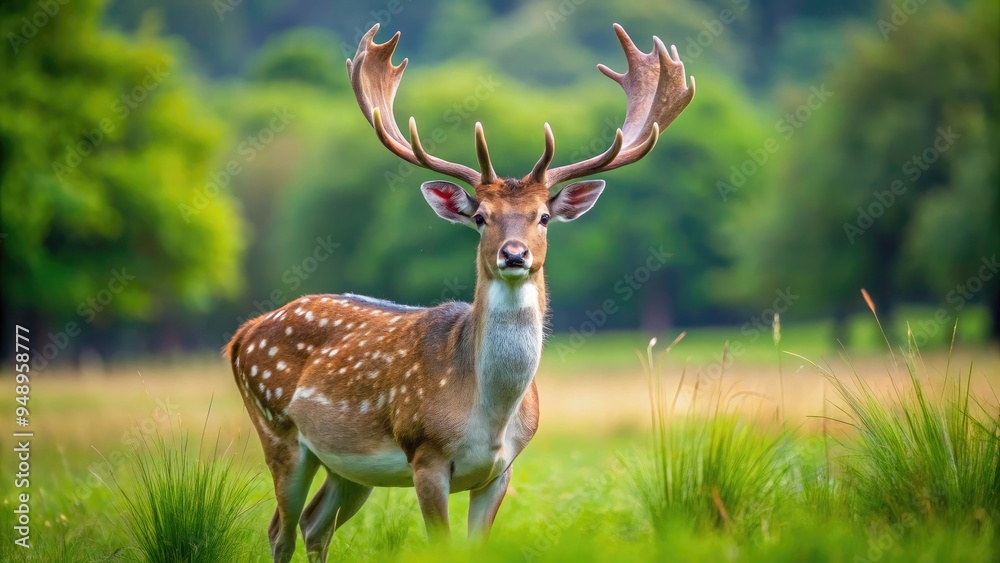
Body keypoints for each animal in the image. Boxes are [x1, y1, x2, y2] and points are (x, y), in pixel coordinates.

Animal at [226, 22, 694, 563]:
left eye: (544, 216)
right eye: (480, 218)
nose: (514, 254)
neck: (489, 416)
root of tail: (241, 335)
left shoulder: (501, 471)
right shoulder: (426, 456)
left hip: (350, 466)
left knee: (313, 524)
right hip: (277, 428)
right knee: (279, 529)